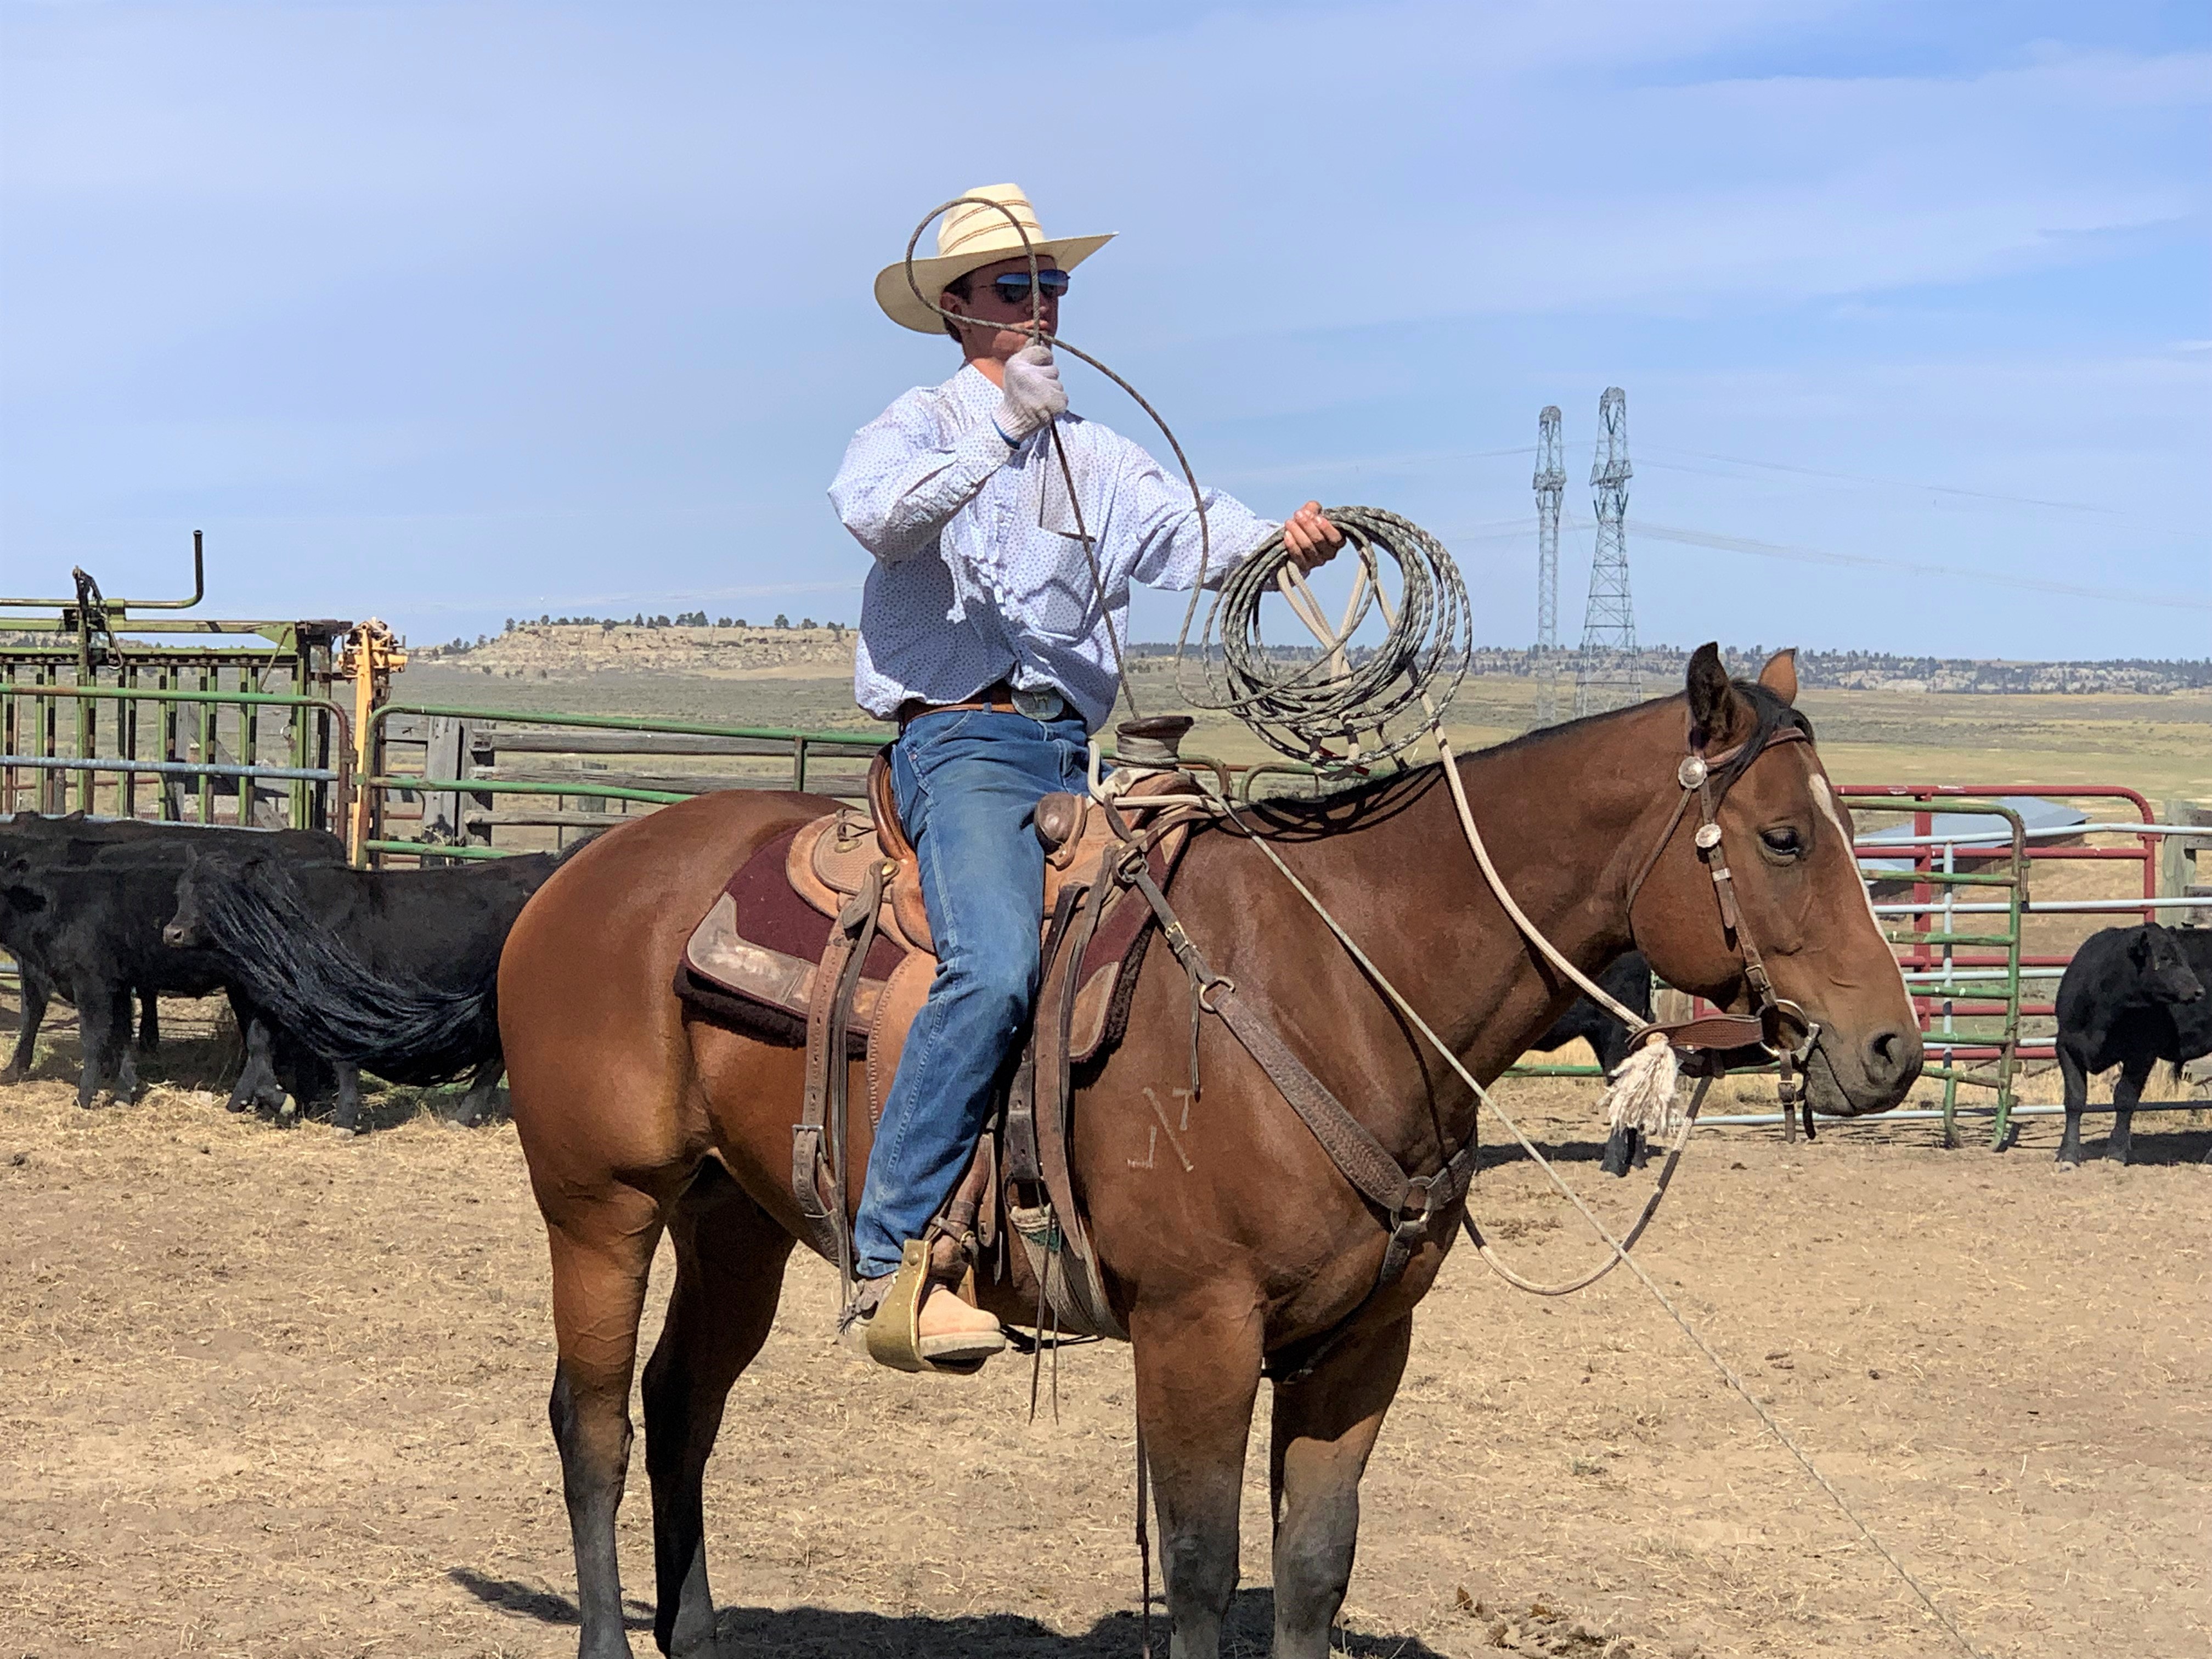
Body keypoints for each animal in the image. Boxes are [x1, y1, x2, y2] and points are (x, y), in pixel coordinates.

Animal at [165, 849, 562, 1141]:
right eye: (181, 892)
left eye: (216, 896)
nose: (172, 933)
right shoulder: (277, 1005)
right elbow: (259, 1050)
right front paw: (279, 1102)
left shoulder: (343, 1008)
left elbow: (343, 1061)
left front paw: (344, 1121)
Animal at [498, 650, 1920, 1659]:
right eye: (1784, 837)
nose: (1893, 1050)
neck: (1344, 982)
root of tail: (584, 867)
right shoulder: (1197, 1331)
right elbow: (1197, 1570)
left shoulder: (1362, 1343)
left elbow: (1310, 1568)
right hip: (600, 1209)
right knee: (593, 1423)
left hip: (732, 1217)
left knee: (683, 1406)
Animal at [2044, 924, 2203, 1167]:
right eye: (2165, 958)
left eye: (2183, 956)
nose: (2199, 991)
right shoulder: (2067, 1047)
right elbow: (2075, 1099)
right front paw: (2068, 1155)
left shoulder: (2142, 1052)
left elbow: (2125, 1097)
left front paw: (2116, 1152)